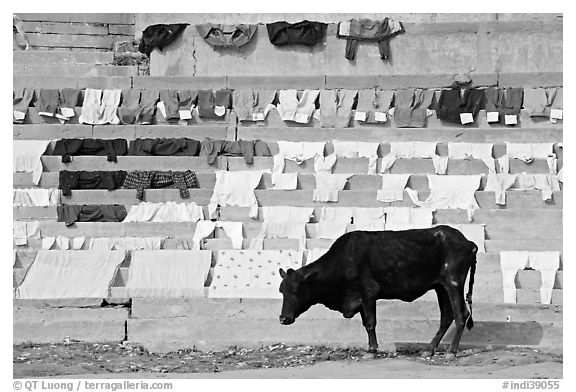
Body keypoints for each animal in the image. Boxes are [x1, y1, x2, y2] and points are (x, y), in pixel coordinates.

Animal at [280, 227, 476, 358]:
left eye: (296, 290)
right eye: (281, 290)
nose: (283, 318)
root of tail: (469, 243)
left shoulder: (369, 292)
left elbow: (370, 323)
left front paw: (372, 350)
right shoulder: (359, 299)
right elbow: (366, 323)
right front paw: (371, 348)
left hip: (454, 283)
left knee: (460, 314)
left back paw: (451, 351)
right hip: (441, 287)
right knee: (447, 316)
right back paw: (429, 349)